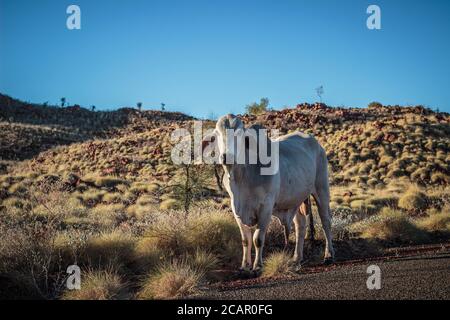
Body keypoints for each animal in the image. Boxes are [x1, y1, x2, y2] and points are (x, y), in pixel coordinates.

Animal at [204, 114, 334, 272]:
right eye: (216, 135)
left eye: (240, 134)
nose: (226, 157)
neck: (243, 176)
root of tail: (316, 143)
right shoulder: (236, 209)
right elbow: (245, 240)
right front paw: (244, 265)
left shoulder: (266, 207)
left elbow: (258, 239)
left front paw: (257, 266)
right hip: (295, 200)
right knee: (300, 226)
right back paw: (297, 258)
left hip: (322, 189)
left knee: (326, 221)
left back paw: (328, 255)